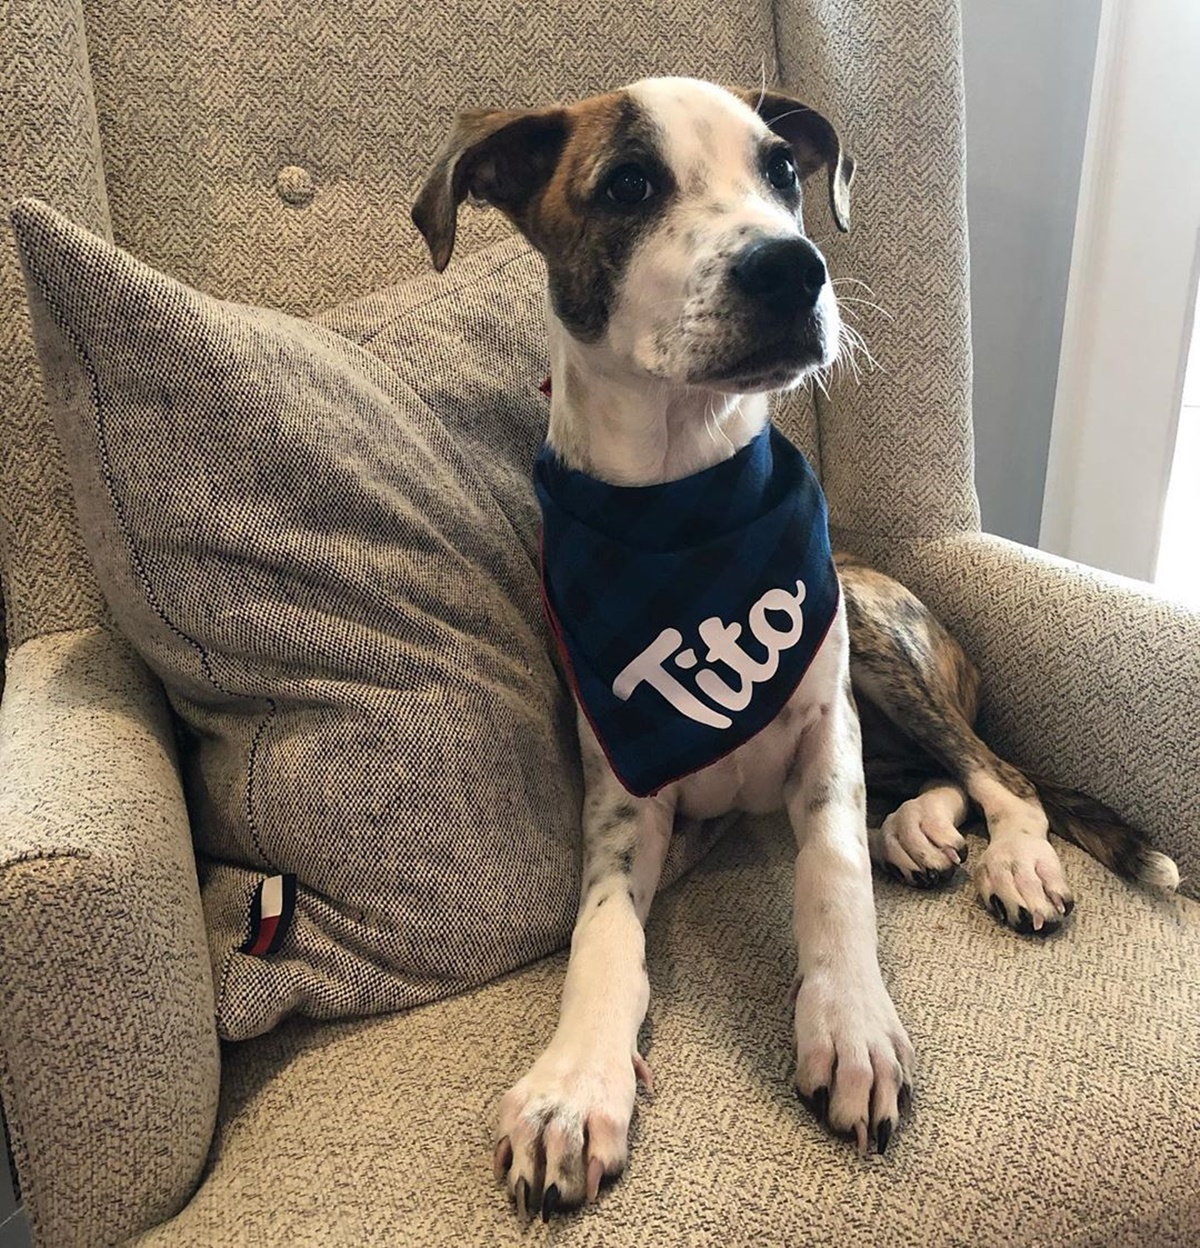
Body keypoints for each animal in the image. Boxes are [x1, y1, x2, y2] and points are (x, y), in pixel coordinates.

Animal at [411, 73, 1177, 1213]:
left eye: (781, 169)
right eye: (628, 184)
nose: (793, 267)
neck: (685, 503)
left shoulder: (824, 730)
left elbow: (833, 876)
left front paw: (850, 1026)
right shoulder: (627, 793)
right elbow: (605, 933)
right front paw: (575, 1084)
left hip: (870, 629)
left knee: (999, 774)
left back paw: (1011, 857)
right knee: (933, 779)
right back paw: (920, 831)